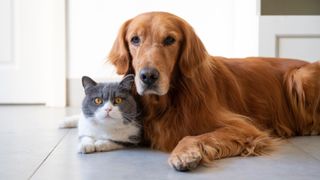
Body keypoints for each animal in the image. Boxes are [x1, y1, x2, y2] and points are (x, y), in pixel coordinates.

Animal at [108, 11, 320, 171]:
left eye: (169, 40)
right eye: (135, 39)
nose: (148, 76)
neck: (168, 101)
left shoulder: (243, 127)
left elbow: (193, 136)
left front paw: (184, 153)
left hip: (300, 76)